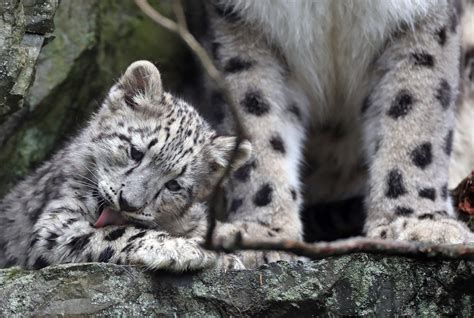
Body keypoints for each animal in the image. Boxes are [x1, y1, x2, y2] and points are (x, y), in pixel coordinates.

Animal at [0, 60, 252, 270]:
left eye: (174, 185)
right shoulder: (56, 224)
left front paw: (228, 257)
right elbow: (116, 233)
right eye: (135, 152)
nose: (128, 203)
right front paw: (184, 248)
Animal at [199, 0, 474, 268]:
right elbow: (255, 119)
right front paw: (260, 234)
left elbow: (414, 116)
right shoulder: (242, 25)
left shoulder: (419, 19)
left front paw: (418, 226)